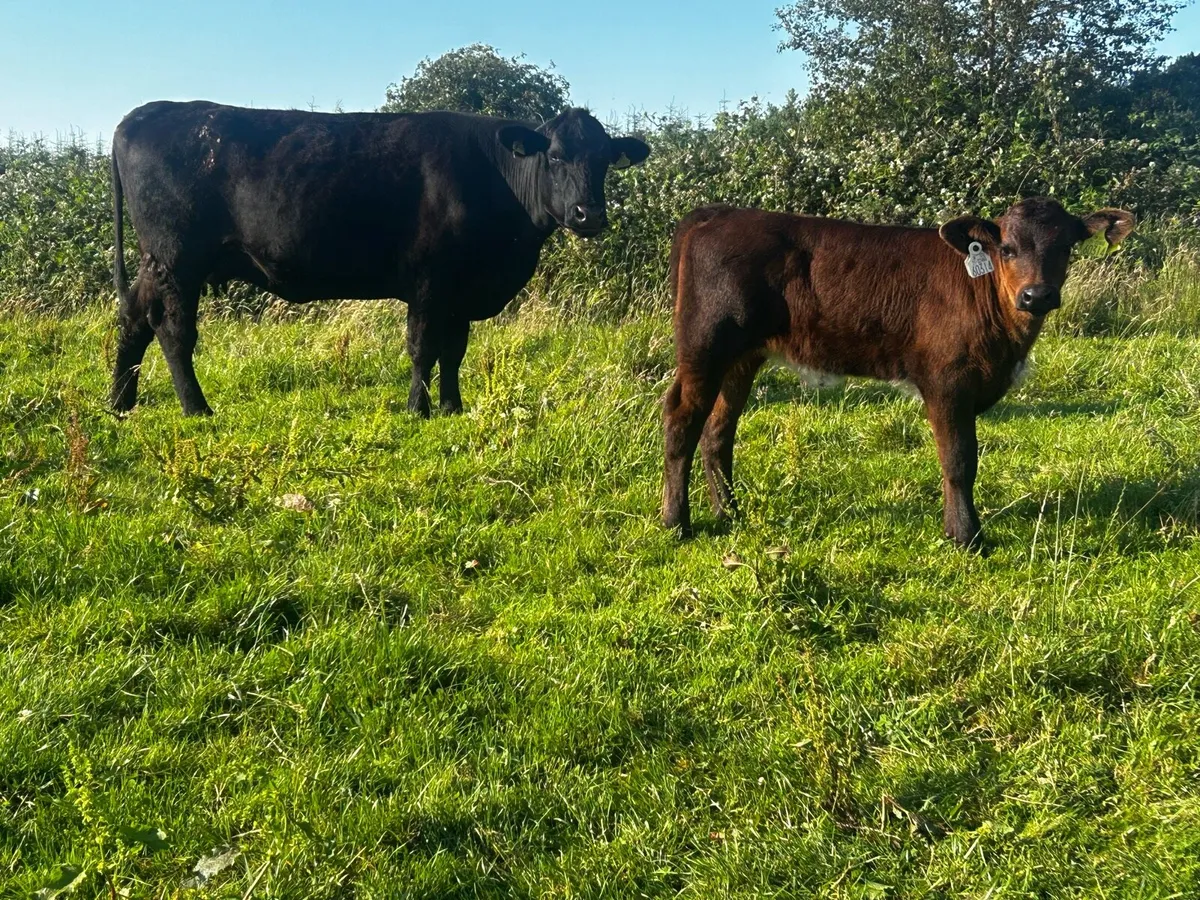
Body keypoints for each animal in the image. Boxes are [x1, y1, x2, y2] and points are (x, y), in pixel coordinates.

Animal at [109, 101, 650, 416]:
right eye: (555, 156)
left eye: (605, 159)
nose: (589, 214)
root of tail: (142, 114)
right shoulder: (430, 280)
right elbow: (423, 347)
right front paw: (418, 408)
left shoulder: (462, 287)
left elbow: (454, 350)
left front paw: (452, 407)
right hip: (178, 260)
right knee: (172, 330)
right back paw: (196, 409)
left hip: (156, 262)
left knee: (133, 316)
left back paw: (120, 402)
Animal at [662, 198, 1134, 548]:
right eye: (1008, 249)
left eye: (1066, 247)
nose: (1037, 295)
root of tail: (719, 213)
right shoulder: (946, 380)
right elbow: (960, 459)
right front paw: (966, 536)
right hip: (705, 344)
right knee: (682, 419)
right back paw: (676, 522)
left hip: (742, 356)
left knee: (718, 431)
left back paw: (730, 512)